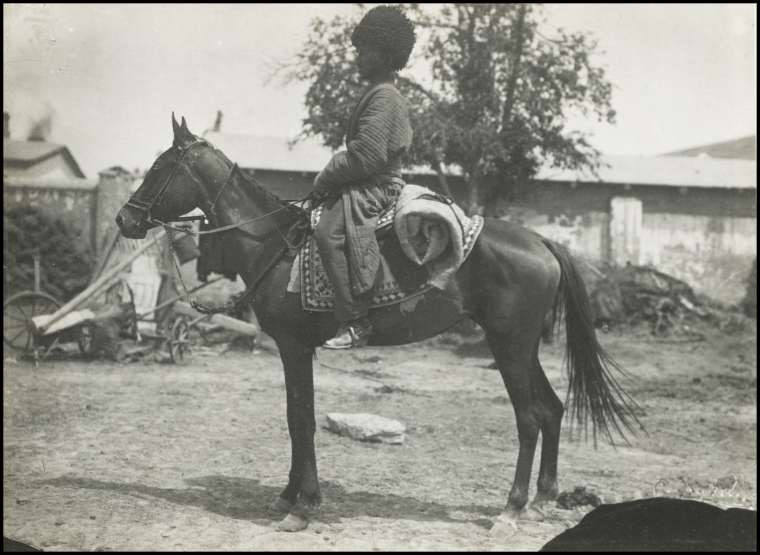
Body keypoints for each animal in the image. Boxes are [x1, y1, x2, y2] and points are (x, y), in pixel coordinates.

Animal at [116, 116, 640, 536]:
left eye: (160, 167)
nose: (125, 218)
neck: (274, 244)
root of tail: (542, 242)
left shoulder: (294, 346)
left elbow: (301, 420)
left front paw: (303, 506)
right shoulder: (293, 349)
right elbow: (295, 417)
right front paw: (288, 495)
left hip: (509, 347)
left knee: (529, 418)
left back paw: (511, 510)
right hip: (524, 348)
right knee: (552, 410)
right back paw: (542, 501)